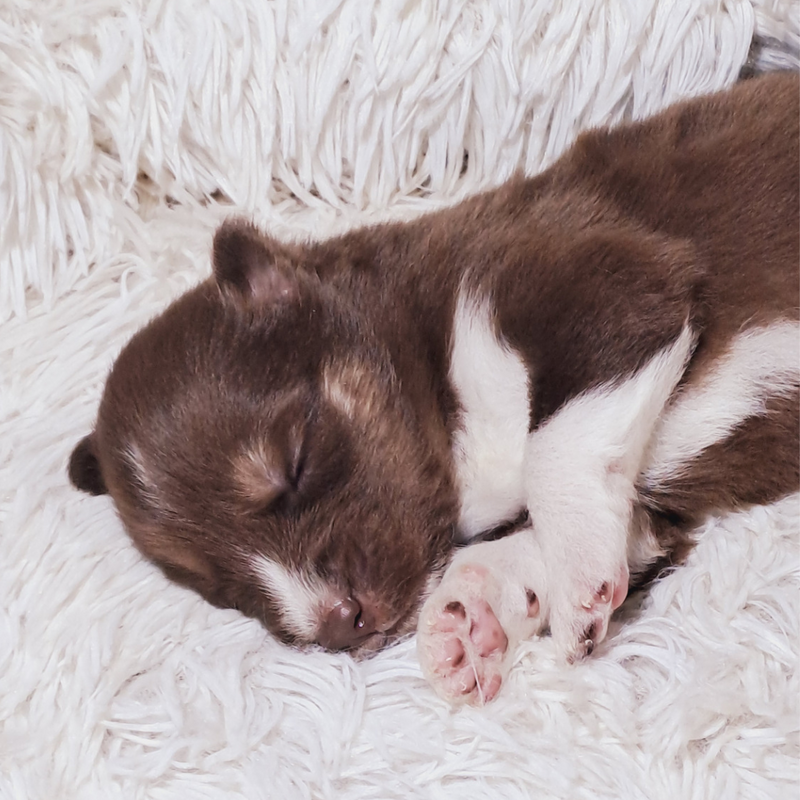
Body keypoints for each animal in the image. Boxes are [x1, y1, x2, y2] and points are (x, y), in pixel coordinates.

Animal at [70, 72, 800, 704]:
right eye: (221, 590)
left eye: (295, 465)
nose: (339, 624)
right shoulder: (647, 506)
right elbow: (559, 536)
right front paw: (471, 618)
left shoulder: (613, 283)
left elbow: (555, 449)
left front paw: (573, 582)